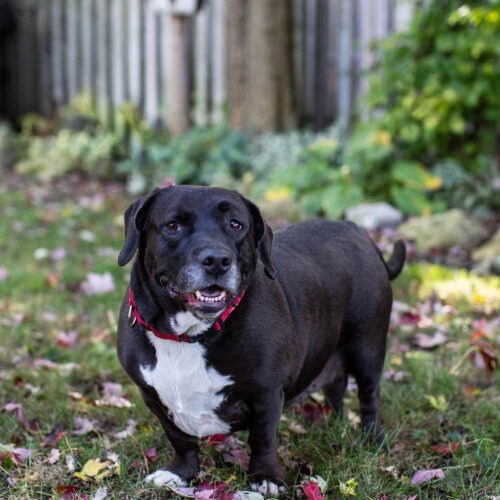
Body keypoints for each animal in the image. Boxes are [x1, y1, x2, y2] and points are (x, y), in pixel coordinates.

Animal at [115, 186, 404, 494]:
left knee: (369, 395)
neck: (189, 334)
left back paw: (372, 440)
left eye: (236, 225)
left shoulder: (266, 393)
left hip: (367, 347)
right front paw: (181, 473)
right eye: (173, 226)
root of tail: (358, 231)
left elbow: (263, 439)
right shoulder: (153, 396)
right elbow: (179, 439)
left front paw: (266, 477)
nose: (217, 260)